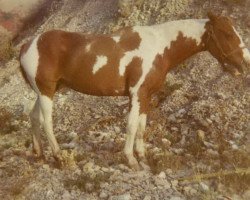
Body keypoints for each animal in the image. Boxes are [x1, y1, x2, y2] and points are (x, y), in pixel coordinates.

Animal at [20, 11, 250, 170]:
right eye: (227, 34)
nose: (245, 62)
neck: (160, 47)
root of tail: (27, 45)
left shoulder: (146, 95)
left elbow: (141, 126)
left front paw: (142, 156)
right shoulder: (137, 94)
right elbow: (131, 126)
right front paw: (131, 160)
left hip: (43, 92)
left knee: (33, 117)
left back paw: (39, 154)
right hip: (47, 92)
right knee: (46, 122)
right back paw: (58, 157)